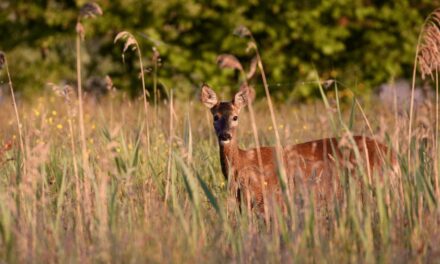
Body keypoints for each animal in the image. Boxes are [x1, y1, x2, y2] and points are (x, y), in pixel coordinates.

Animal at [200, 83, 398, 216]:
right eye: (216, 117)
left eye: (235, 117)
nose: (225, 135)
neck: (242, 164)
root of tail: (393, 156)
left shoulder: (271, 199)